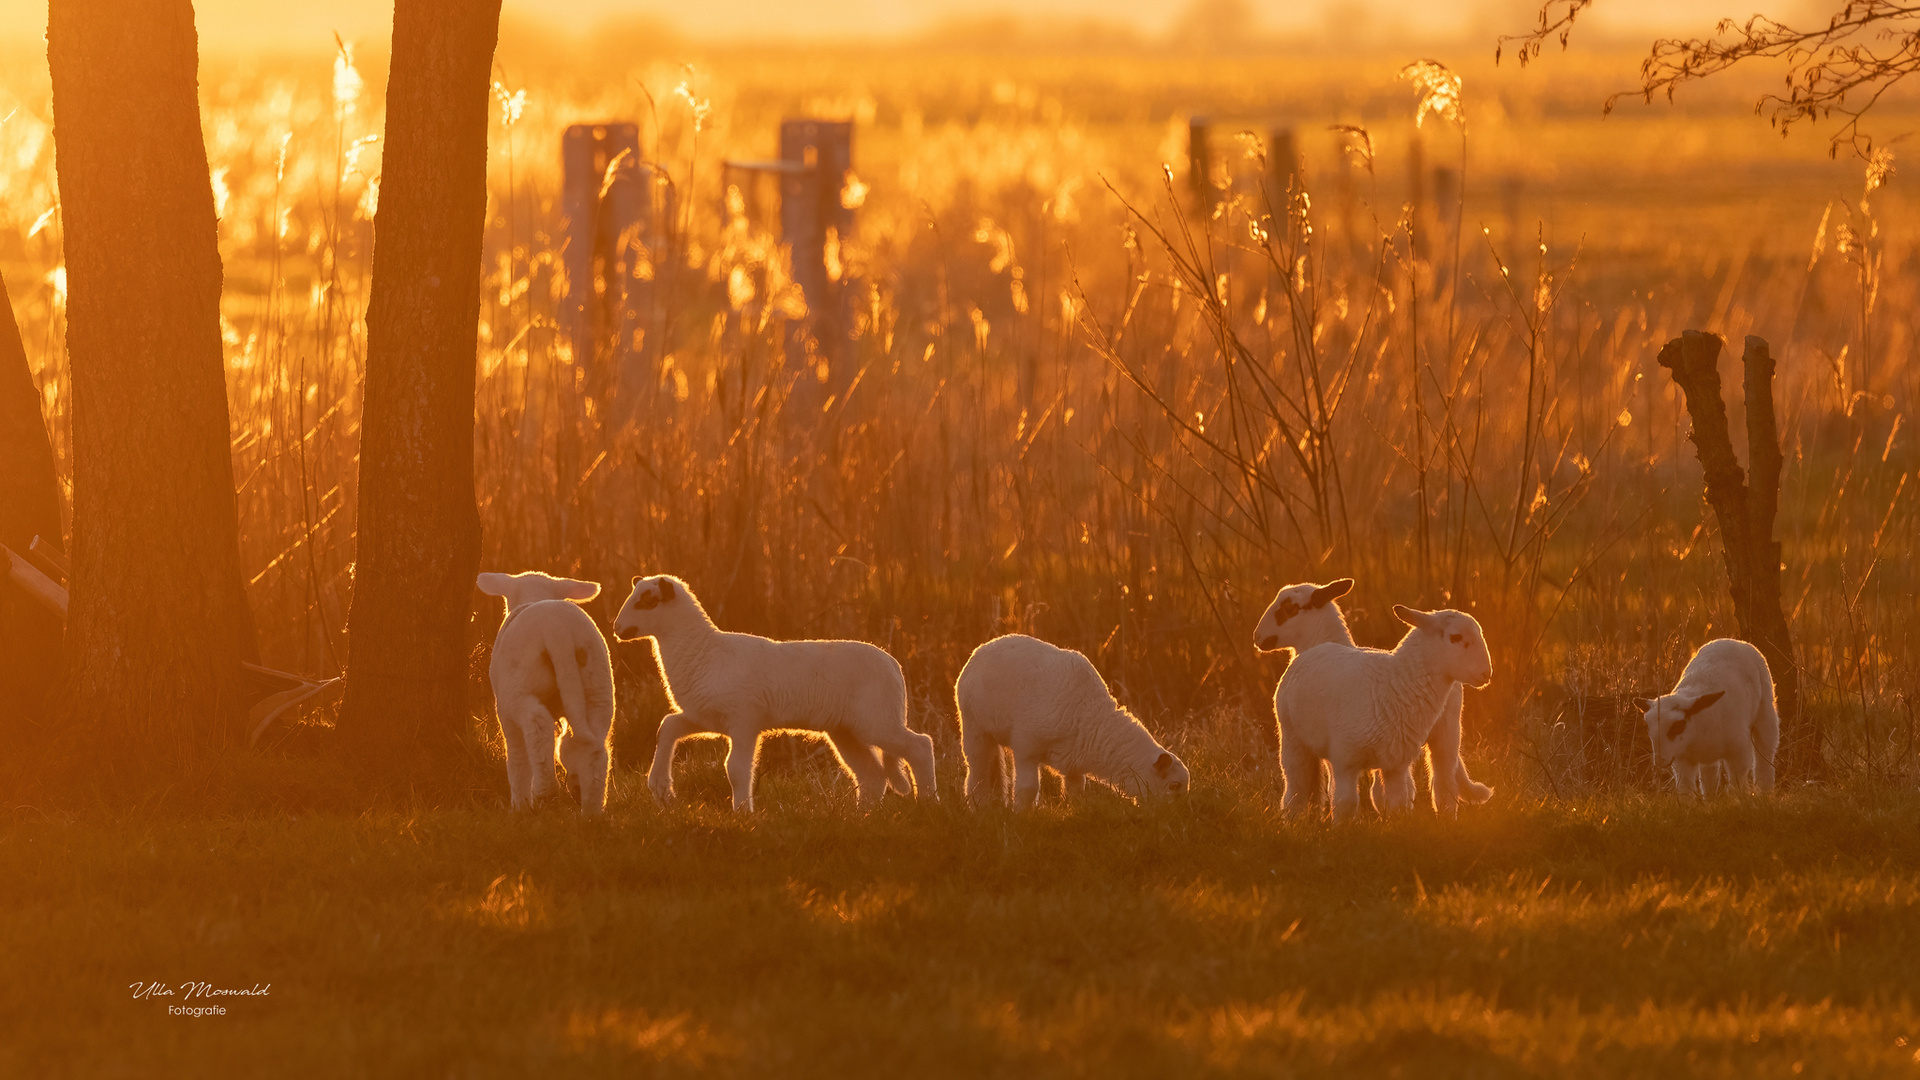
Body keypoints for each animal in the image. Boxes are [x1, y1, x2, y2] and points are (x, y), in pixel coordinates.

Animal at [478, 572, 614, 807]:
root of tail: (558, 631)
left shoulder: (504, 713)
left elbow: (517, 755)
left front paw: (519, 804)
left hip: (519, 688)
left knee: (537, 724)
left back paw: (545, 792)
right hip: (598, 683)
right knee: (595, 744)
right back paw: (591, 806)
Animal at [610, 572, 933, 807]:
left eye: (647, 601)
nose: (616, 628)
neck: (703, 651)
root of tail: (893, 664)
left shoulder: (743, 720)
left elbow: (736, 770)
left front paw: (742, 812)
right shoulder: (706, 715)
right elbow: (668, 726)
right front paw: (660, 788)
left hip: (877, 720)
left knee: (919, 746)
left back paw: (929, 801)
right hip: (847, 729)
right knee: (872, 775)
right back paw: (863, 815)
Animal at [956, 630, 1182, 807]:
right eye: (1173, 786)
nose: (1177, 814)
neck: (1093, 720)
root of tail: (980, 651)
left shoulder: (1074, 762)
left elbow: (1077, 789)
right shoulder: (1026, 748)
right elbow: (1028, 789)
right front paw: (1021, 815)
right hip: (974, 725)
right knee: (979, 769)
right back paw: (980, 805)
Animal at [1259, 576, 1497, 810]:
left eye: (1290, 609)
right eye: (1456, 637)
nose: (1257, 637)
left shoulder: (1383, 761)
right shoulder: (1348, 759)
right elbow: (1353, 800)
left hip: (1446, 734)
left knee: (1444, 787)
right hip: (1295, 740)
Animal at [1635, 634, 1781, 795]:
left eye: (1677, 726)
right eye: (1648, 727)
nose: (1659, 761)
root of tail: (1731, 640)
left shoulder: (1740, 752)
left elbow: (1737, 784)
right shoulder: (1681, 759)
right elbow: (1686, 789)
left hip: (1766, 712)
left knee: (1766, 753)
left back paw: (1765, 791)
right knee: (1709, 774)